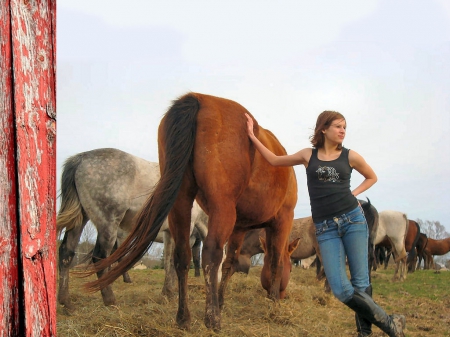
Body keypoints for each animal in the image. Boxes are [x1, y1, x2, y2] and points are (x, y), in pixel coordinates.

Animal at [56, 148, 209, 312]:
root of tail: (81, 159)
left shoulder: (169, 234)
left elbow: (168, 263)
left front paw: (167, 292)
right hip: (109, 224)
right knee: (100, 257)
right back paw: (110, 299)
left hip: (80, 219)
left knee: (66, 253)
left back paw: (66, 302)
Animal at [84, 92, 298, 330]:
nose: (283, 295)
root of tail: (198, 98)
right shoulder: (282, 221)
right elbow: (275, 261)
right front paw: (273, 303)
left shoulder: (239, 227)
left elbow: (230, 263)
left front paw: (221, 300)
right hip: (221, 207)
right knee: (211, 254)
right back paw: (212, 319)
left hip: (181, 203)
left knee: (182, 255)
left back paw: (183, 317)